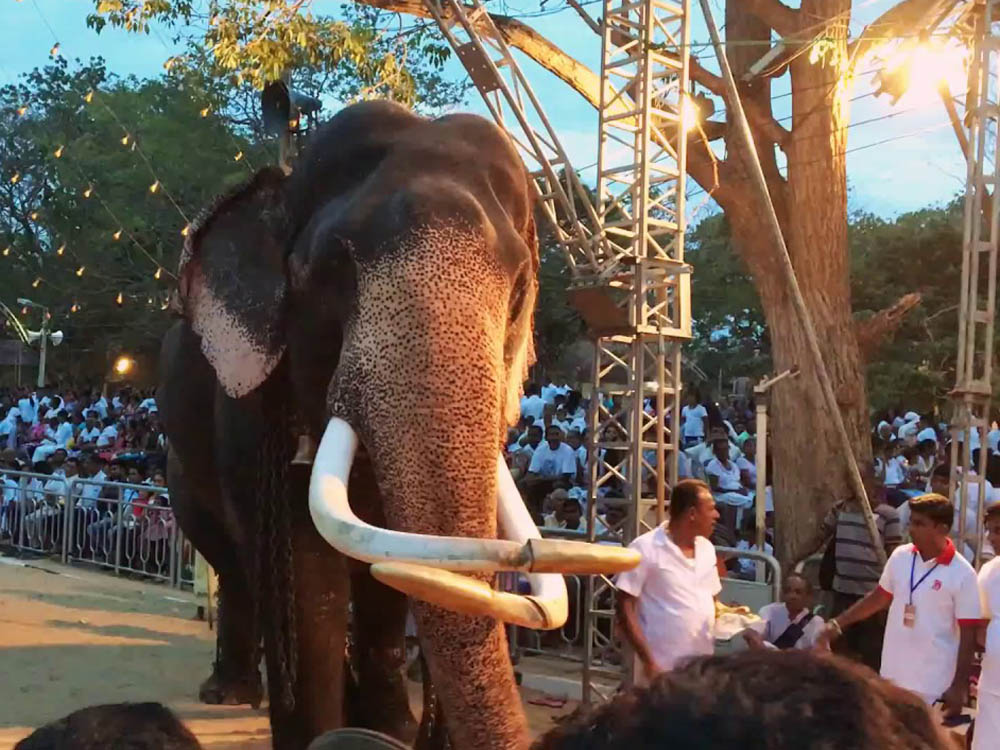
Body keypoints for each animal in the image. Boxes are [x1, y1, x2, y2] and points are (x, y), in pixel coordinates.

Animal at [160, 101, 636, 750]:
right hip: (181, 464)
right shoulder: (250, 406)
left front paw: (388, 727)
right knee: (231, 560)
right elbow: (308, 579)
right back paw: (230, 694)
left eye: (519, 291)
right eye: (329, 268)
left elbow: (392, 571)